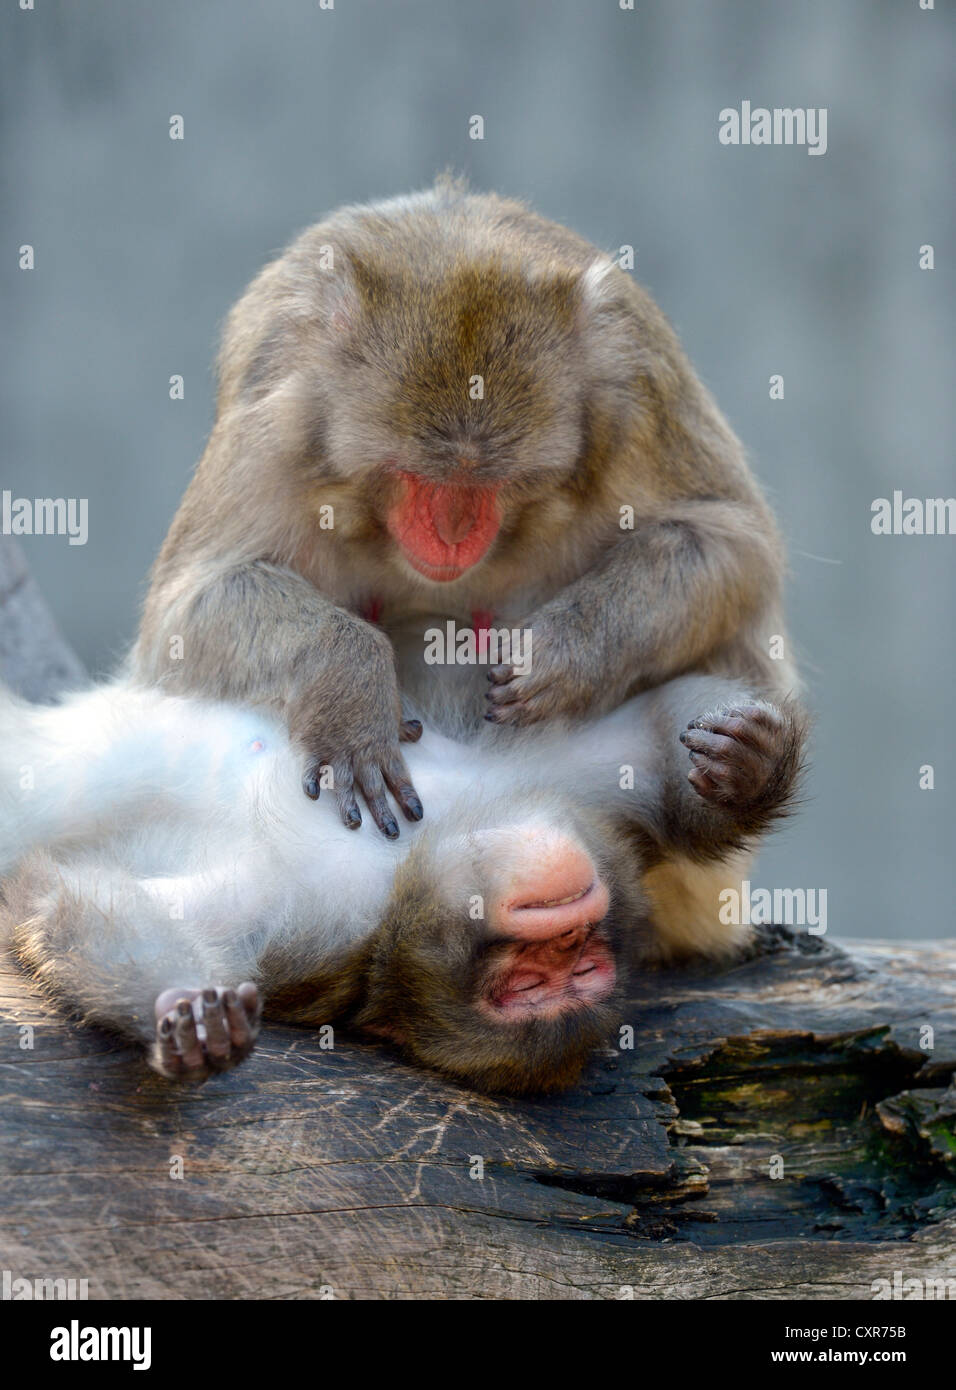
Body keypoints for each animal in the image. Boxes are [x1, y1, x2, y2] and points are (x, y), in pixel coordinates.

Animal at [0, 675, 805, 1095]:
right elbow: (645, 741)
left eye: (570, 972)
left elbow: (71, 895)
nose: (569, 930)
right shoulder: (539, 791)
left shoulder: (300, 919)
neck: (401, 866)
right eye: (549, 965)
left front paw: (186, 1014)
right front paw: (748, 766)